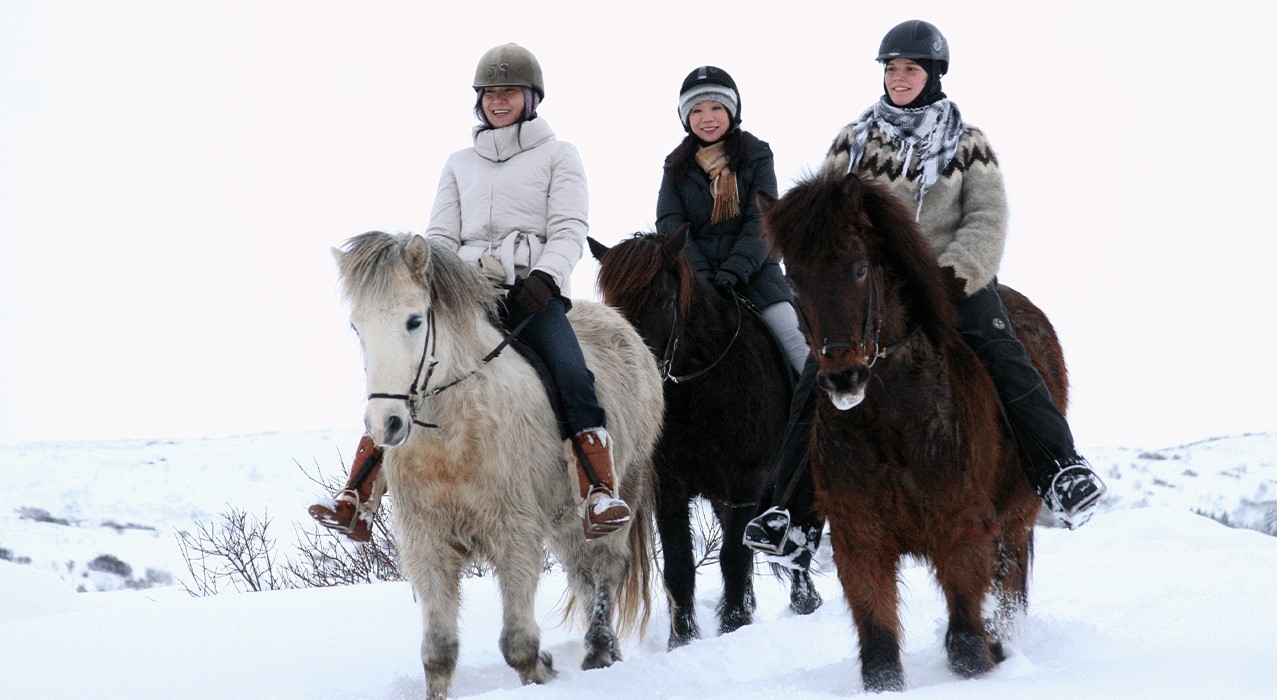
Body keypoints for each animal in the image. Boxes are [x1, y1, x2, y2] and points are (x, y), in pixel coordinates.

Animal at [334, 231, 664, 700]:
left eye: (414, 321)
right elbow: (438, 653)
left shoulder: (515, 536)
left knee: (608, 566)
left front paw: (541, 672)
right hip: (566, 519)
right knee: (581, 573)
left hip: (624, 490)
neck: (452, 438)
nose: (386, 424)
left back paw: (599, 650)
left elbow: (519, 646)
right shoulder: (427, 545)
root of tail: (625, 328)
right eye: (357, 327)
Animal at [589, 229, 822, 651]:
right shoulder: (671, 489)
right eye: (613, 305)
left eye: (666, 301)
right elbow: (680, 566)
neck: (701, 386)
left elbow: (734, 556)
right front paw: (682, 639)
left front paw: (733, 624)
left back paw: (804, 600)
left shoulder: (746, 482)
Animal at [755, 172, 1047, 689]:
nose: (844, 378)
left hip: (1015, 519)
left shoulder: (960, 526)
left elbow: (966, 647)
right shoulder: (859, 536)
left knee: (1010, 587)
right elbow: (879, 654)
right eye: (793, 279)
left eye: (858, 269)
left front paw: (987, 651)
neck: (890, 422)